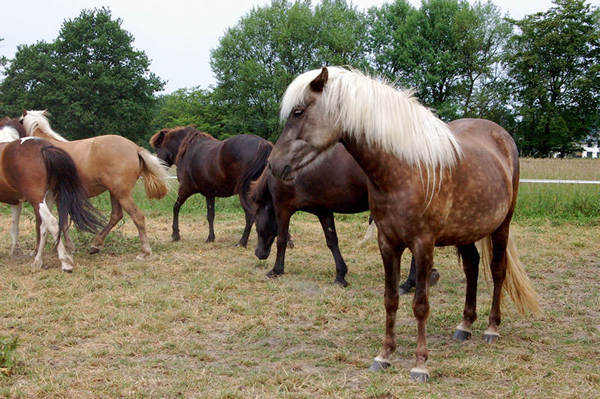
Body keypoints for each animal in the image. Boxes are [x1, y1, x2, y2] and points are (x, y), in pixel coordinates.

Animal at [19, 109, 169, 260]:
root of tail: (136, 148)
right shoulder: (58, 197)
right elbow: (62, 221)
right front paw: (69, 247)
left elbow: (42, 222)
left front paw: (38, 250)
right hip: (115, 192)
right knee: (116, 215)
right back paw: (96, 244)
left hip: (122, 194)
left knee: (137, 216)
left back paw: (145, 251)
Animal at [248, 142, 440, 290]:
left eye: (256, 222)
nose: (259, 253)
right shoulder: (323, 211)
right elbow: (332, 241)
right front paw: (341, 275)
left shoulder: (283, 208)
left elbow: (281, 240)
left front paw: (276, 270)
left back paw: (409, 283)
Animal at [268, 67, 540, 382]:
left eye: (298, 111)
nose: (274, 165)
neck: (405, 170)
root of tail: (502, 137)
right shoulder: (388, 243)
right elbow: (390, 299)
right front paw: (384, 355)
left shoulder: (423, 245)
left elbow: (420, 304)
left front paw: (420, 364)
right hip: (465, 230)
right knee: (472, 267)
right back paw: (465, 325)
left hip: (502, 226)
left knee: (497, 271)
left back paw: (491, 328)